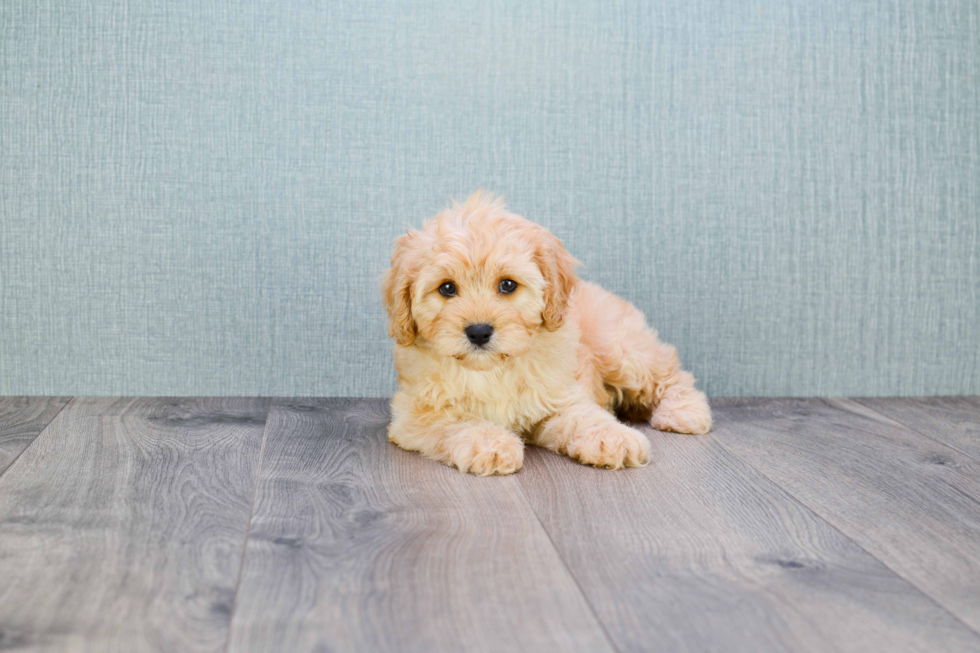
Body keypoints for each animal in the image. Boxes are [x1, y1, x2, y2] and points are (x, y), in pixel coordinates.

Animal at [382, 191, 712, 476]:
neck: (493, 370)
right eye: (447, 288)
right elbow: (459, 422)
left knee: (670, 373)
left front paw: (613, 437)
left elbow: (585, 415)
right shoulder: (415, 413)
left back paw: (685, 411)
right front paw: (489, 443)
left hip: (619, 349)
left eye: (507, 285)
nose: (478, 332)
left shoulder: (560, 396)